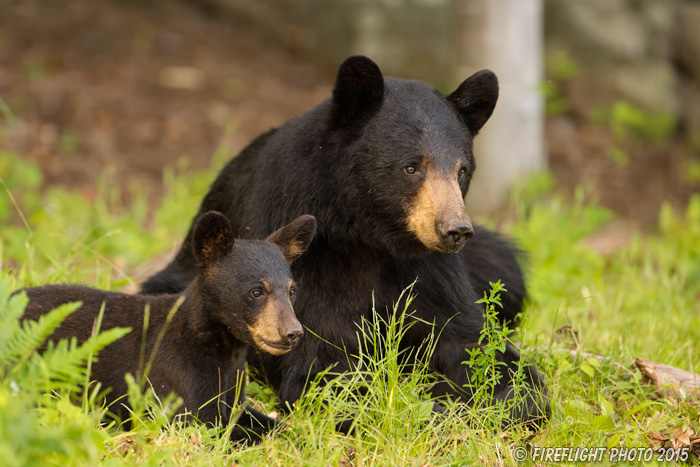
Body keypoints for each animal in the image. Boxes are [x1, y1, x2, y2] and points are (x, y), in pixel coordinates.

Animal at [17, 212, 318, 442]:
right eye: (256, 291)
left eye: (291, 291)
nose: (293, 333)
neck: (221, 347)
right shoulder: (176, 382)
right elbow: (210, 425)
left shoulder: (232, 388)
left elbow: (256, 417)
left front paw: (299, 434)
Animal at [141, 55, 548, 428]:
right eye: (411, 167)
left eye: (462, 170)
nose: (456, 229)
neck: (370, 236)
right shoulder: (306, 263)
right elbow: (323, 364)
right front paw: (425, 408)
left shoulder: (432, 270)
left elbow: (471, 341)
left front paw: (497, 396)